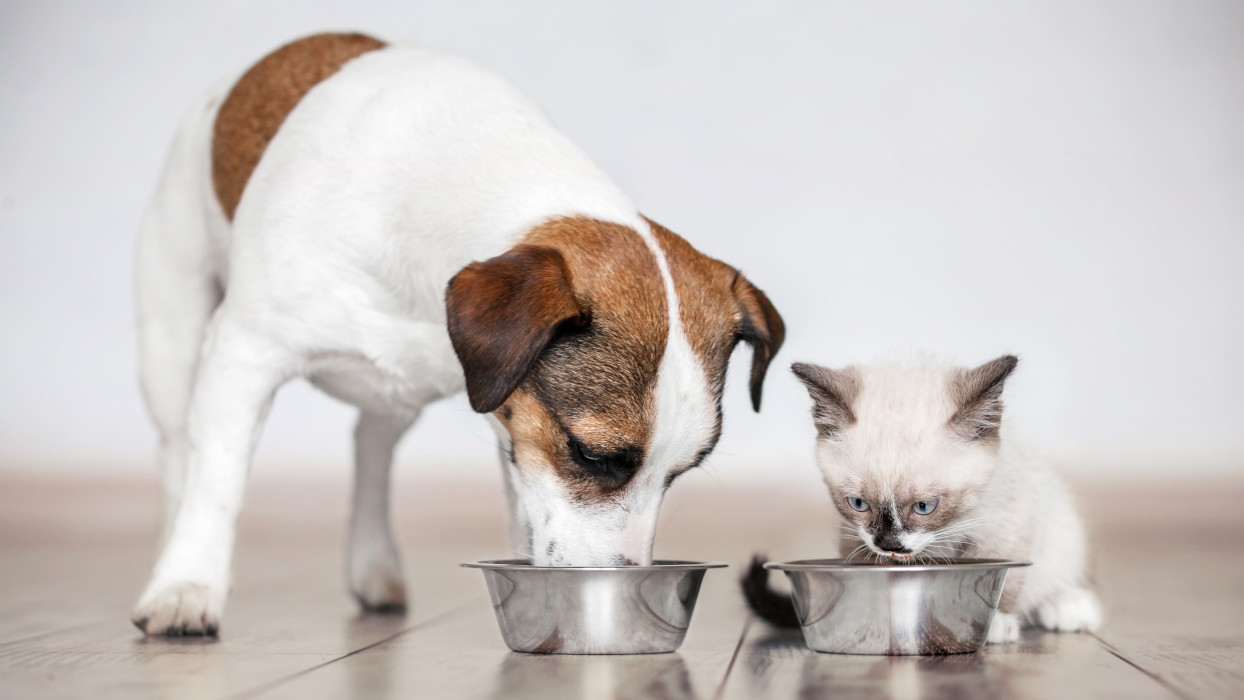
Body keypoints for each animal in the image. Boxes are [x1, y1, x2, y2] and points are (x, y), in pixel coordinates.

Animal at [131, 31, 781, 636]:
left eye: (682, 472)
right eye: (590, 454)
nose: (624, 575)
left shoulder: (512, 422)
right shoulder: (244, 353)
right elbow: (217, 480)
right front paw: (188, 585)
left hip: (396, 391)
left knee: (371, 448)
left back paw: (373, 561)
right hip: (174, 336)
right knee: (176, 452)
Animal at [741, 353, 1104, 641]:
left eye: (924, 507)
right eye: (858, 504)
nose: (889, 544)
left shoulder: (1005, 524)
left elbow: (1005, 575)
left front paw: (995, 623)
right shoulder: (853, 537)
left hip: (1059, 528)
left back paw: (1068, 607)